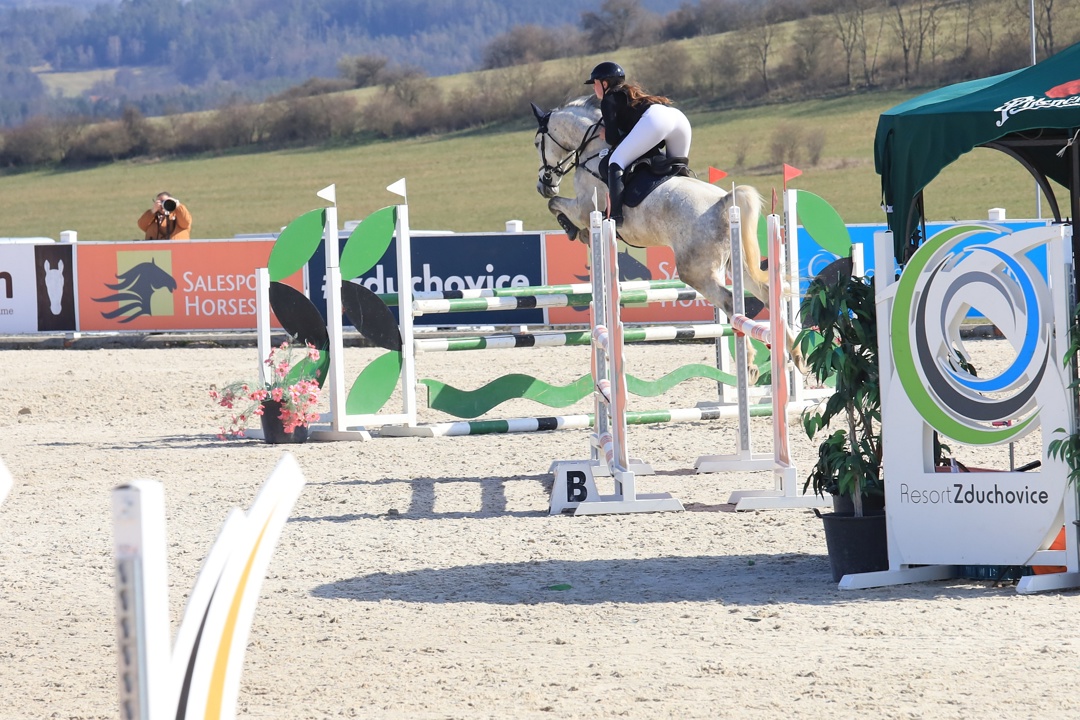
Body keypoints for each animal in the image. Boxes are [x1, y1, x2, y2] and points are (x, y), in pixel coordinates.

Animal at [530, 95, 803, 371]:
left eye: (536, 143)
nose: (544, 184)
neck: (593, 149)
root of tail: (723, 201)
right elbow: (556, 206)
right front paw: (580, 232)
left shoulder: (584, 207)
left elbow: (555, 206)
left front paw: (572, 229)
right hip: (736, 264)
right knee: (765, 293)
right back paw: (796, 353)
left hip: (696, 271)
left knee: (729, 301)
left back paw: (748, 362)